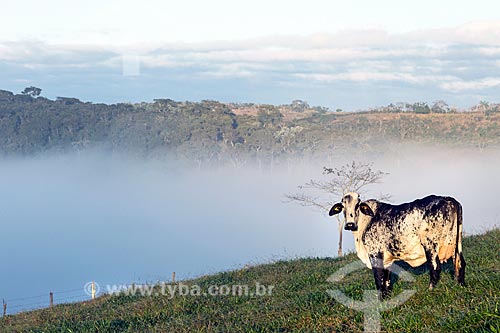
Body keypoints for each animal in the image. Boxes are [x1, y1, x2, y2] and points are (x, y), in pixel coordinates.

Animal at [330, 192, 466, 298]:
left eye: (358, 205)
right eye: (342, 206)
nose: (350, 224)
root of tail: (448, 199)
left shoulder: (374, 253)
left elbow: (379, 278)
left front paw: (380, 300)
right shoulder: (387, 259)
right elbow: (386, 279)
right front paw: (386, 297)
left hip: (430, 245)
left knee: (435, 267)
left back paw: (431, 290)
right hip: (457, 243)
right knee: (460, 263)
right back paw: (460, 285)